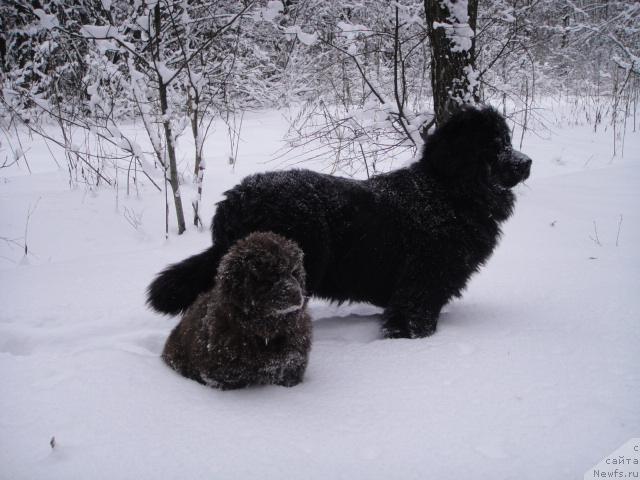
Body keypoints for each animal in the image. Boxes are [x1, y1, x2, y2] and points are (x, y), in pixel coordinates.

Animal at [149, 106, 528, 338]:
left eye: (508, 141)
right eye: (494, 147)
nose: (527, 162)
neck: (447, 192)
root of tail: (234, 201)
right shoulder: (421, 282)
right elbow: (414, 317)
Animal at [162, 231, 312, 388]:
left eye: (294, 272)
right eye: (271, 276)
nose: (297, 294)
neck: (263, 333)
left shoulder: (292, 367)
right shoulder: (221, 377)